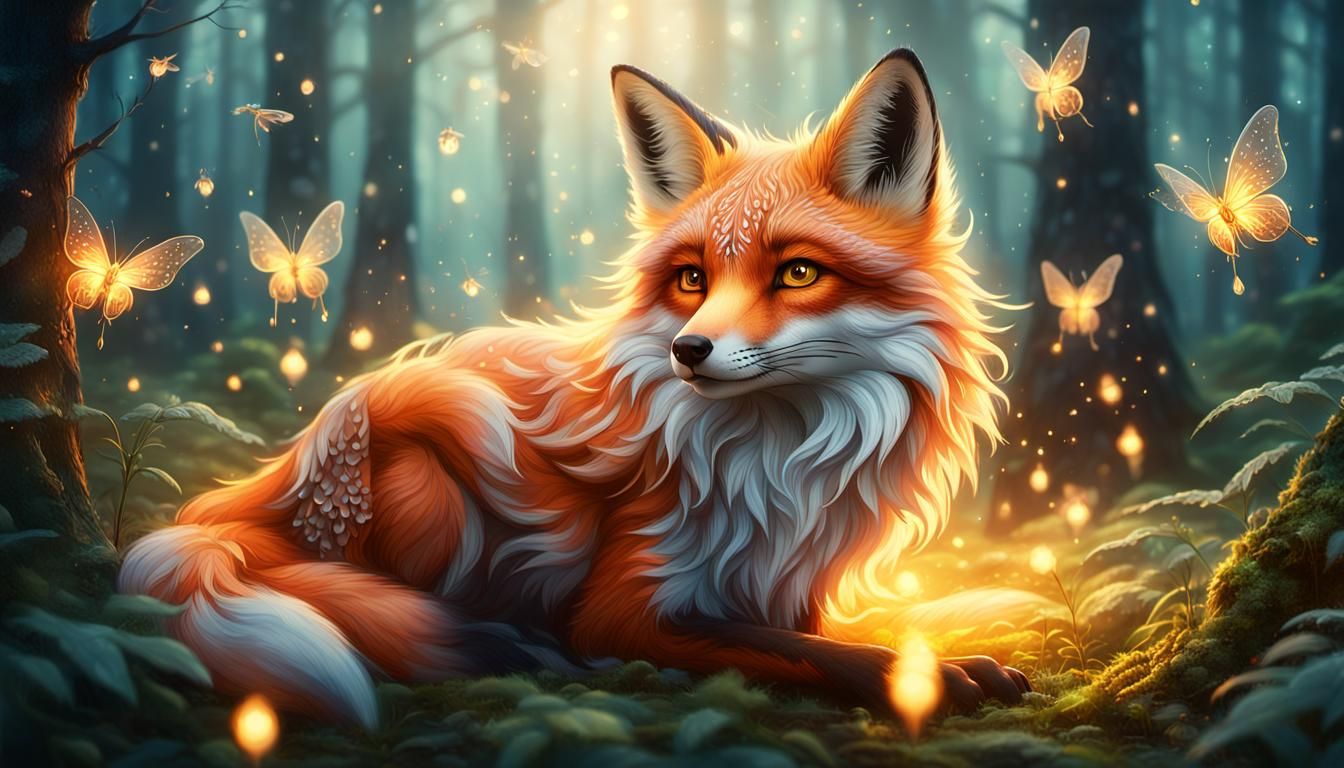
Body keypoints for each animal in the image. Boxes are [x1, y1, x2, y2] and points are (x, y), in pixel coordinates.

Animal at [119, 49, 1027, 727]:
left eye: (798, 273)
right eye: (692, 279)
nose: (688, 351)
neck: (776, 464)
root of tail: (243, 490)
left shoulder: (790, 589)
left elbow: (823, 631)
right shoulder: (629, 606)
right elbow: (806, 652)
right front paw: (920, 676)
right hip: (441, 438)